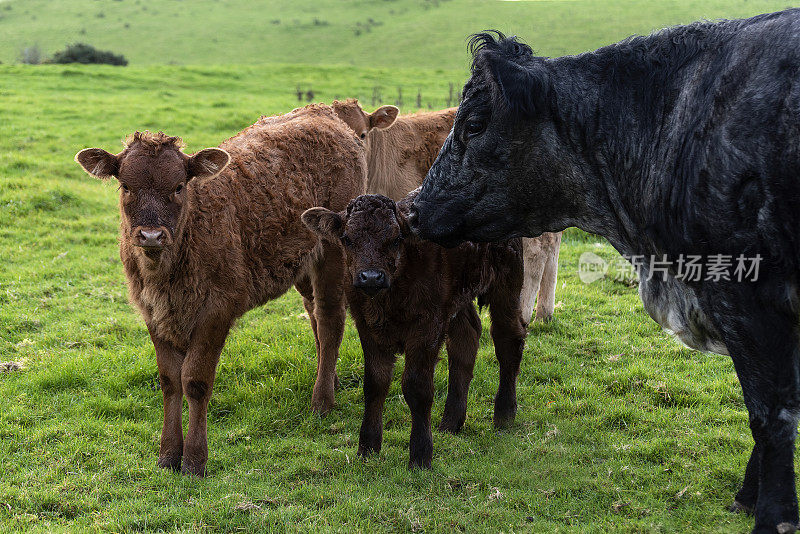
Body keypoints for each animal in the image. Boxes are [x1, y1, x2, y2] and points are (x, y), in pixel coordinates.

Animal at [73, 102, 364, 476]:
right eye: (125, 185)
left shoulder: (217, 308)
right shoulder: (151, 311)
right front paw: (168, 454)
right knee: (314, 312)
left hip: (333, 247)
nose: (151, 235)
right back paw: (330, 380)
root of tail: (323, 111)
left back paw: (322, 401)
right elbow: (169, 380)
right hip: (301, 258)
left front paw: (195, 460)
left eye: (179, 186)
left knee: (329, 318)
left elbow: (195, 381)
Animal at [300, 196, 524, 468]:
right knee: (466, 336)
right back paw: (451, 421)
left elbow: (417, 387)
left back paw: (504, 413)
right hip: (457, 296)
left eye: (396, 238)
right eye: (347, 238)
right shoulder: (366, 325)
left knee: (508, 337)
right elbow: (375, 383)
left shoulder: (427, 326)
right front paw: (368, 447)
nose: (370, 277)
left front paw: (420, 455)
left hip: (508, 278)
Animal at [410, 9, 800, 534]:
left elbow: (770, 411)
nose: (414, 207)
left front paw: (772, 515)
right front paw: (749, 497)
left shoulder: (747, 296)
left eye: (474, 124)